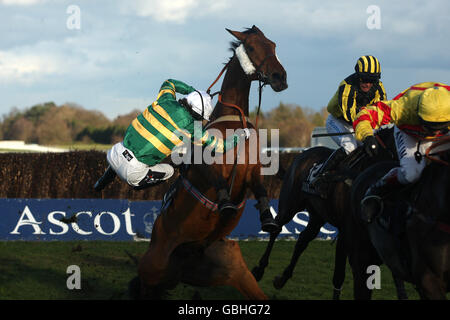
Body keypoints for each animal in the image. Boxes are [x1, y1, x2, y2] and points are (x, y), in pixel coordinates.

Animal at [128, 25, 286, 300]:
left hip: (231, 267)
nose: (280, 77)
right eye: (252, 47)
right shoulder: (205, 165)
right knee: (146, 286)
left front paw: (268, 217)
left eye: (273, 45)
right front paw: (225, 204)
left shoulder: (252, 171)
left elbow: (260, 188)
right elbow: (215, 175)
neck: (234, 122)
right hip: (153, 267)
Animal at [251, 125, 410, 300]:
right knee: (276, 228)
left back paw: (282, 279)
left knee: (302, 240)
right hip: (290, 205)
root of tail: (302, 156)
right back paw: (259, 270)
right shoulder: (347, 233)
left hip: (317, 216)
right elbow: (340, 274)